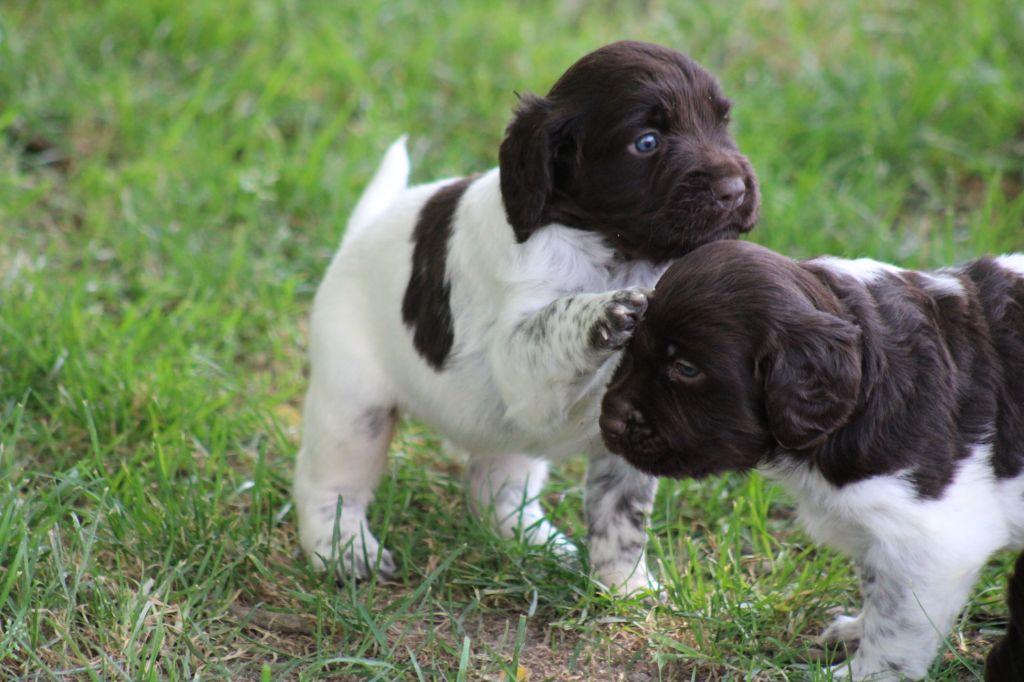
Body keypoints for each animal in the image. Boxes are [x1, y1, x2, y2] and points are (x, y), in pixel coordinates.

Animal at [296, 42, 761, 593]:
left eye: (722, 123)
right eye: (646, 142)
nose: (735, 190)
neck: (614, 250)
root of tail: (358, 234)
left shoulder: (637, 423)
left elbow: (621, 514)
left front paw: (626, 590)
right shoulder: (520, 360)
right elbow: (559, 318)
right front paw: (610, 310)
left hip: (504, 441)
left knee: (493, 489)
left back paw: (532, 540)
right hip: (353, 410)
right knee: (327, 485)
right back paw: (343, 550)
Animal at [598, 240, 1024, 675]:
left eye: (686, 368)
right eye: (630, 346)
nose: (607, 422)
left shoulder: (935, 540)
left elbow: (897, 628)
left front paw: (861, 674)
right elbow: (878, 585)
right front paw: (856, 630)